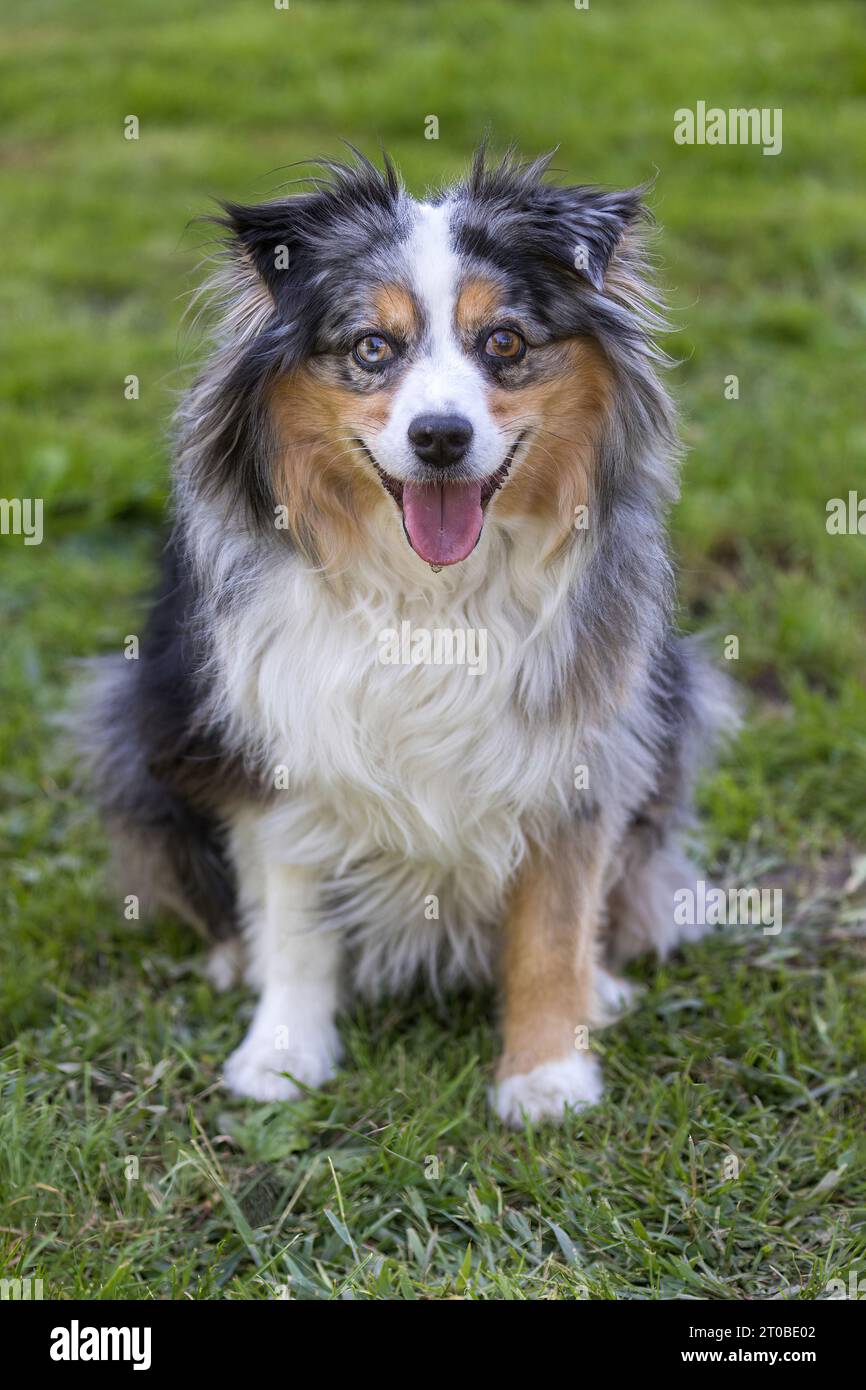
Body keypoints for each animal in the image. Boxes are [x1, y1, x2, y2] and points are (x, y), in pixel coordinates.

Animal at [77, 146, 733, 1123]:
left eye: (505, 343)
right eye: (371, 348)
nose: (440, 438)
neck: (434, 597)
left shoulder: (583, 744)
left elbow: (555, 923)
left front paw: (547, 1070)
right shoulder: (286, 737)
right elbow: (296, 913)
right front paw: (282, 1054)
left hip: (677, 704)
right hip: (130, 714)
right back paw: (234, 958)